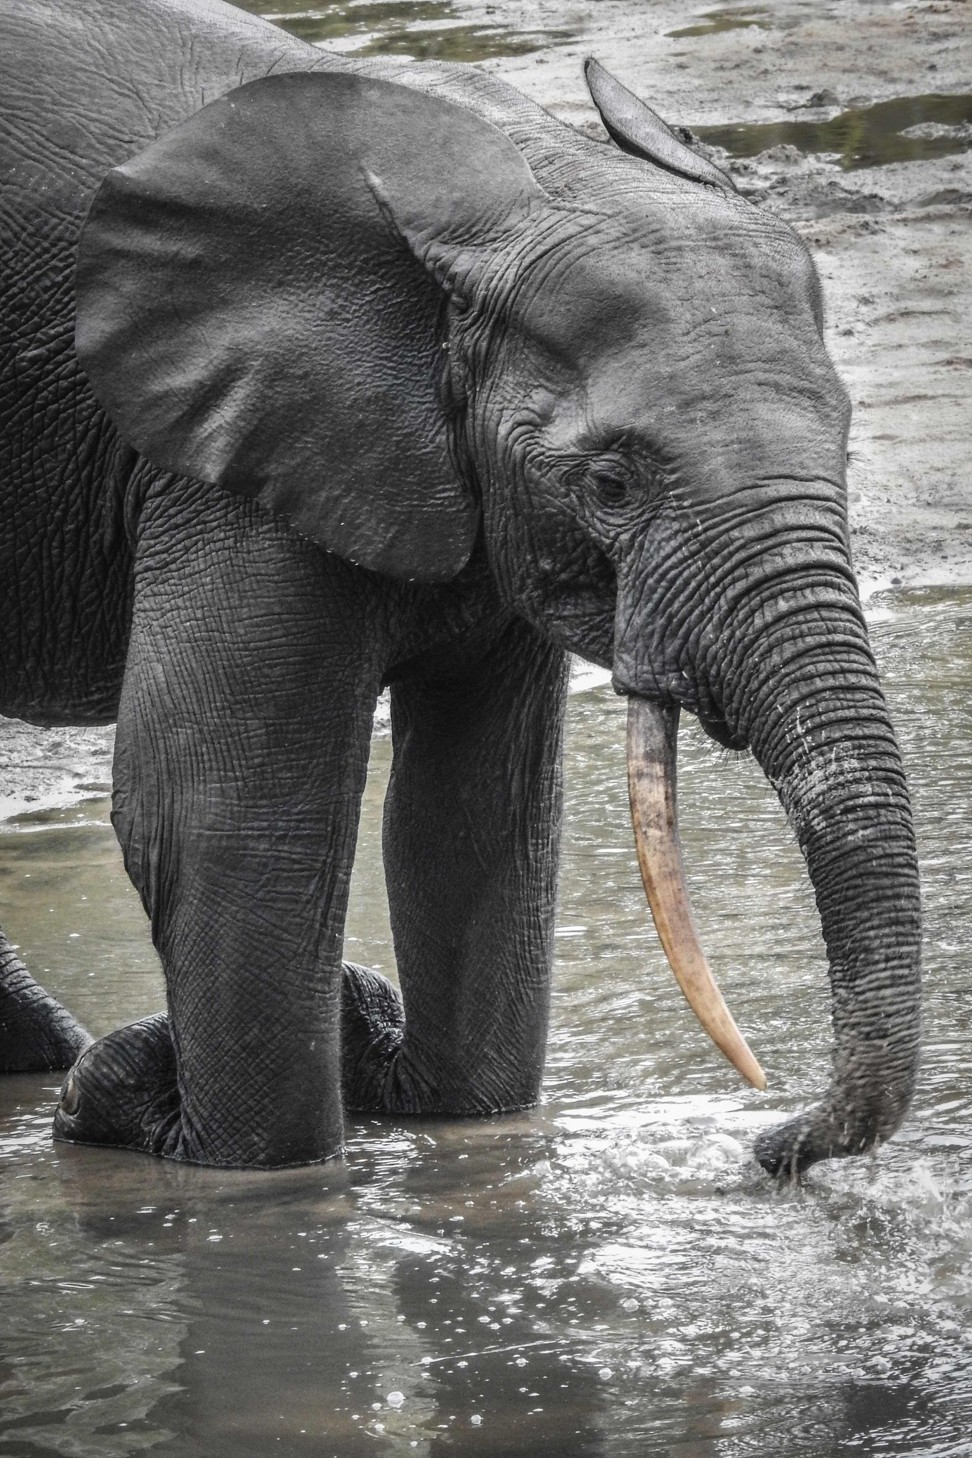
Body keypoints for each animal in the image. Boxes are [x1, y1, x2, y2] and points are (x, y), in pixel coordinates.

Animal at [0, 0, 920, 1172]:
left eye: (844, 445)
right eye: (610, 483)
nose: (768, 1143)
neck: (507, 190)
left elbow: (477, 813)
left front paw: (436, 1113)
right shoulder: (221, 467)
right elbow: (223, 811)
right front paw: (219, 1155)